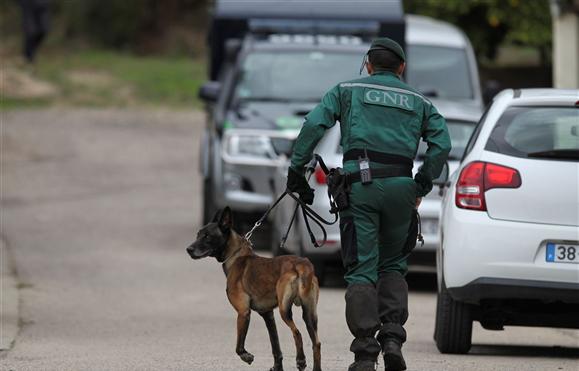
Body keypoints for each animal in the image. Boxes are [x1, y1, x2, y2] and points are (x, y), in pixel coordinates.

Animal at [187, 208, 322, 371]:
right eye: (198, 235)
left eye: (207, 236)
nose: (188, 249)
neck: (236, 256)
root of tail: (301, 264)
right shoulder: (268, 315)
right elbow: (275, 346)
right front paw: (277, 367)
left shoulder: (243, 312)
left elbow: (238, 347)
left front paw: (246, 356)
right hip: (310, 315)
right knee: (316, 343)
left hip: (285, 310)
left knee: (297, 333)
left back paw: (301, 360)